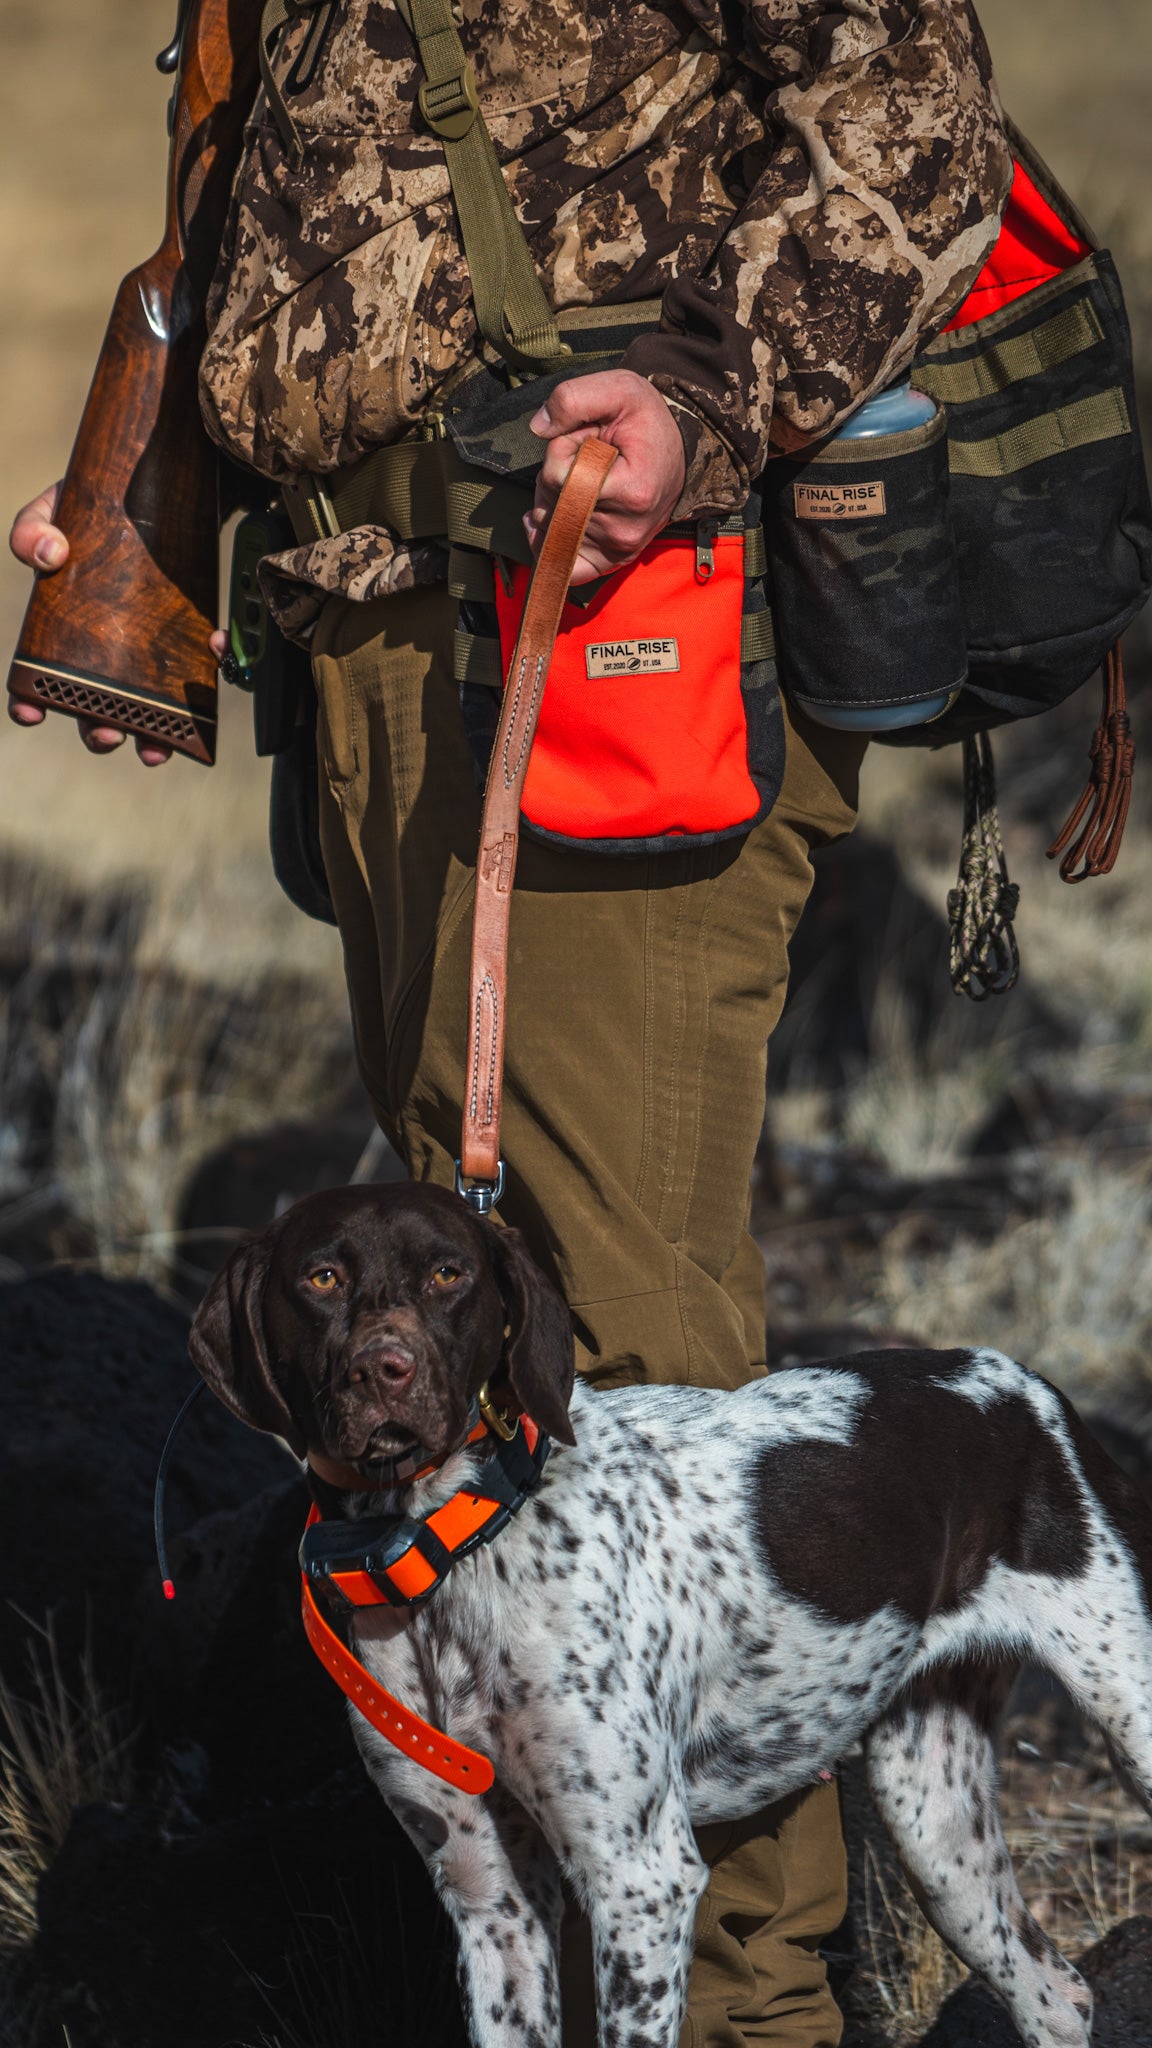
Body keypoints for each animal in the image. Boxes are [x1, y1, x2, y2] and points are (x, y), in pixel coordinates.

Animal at [188, 1187, 1147, 2048]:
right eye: (320, 1278)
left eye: (448, 1274)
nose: (383, 1371)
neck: (449, 1544)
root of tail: (1028, 1386)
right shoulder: (490, 1897)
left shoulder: (638, 1878)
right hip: (935, 1825)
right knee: (1058, 1993)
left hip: (1124, 1717)